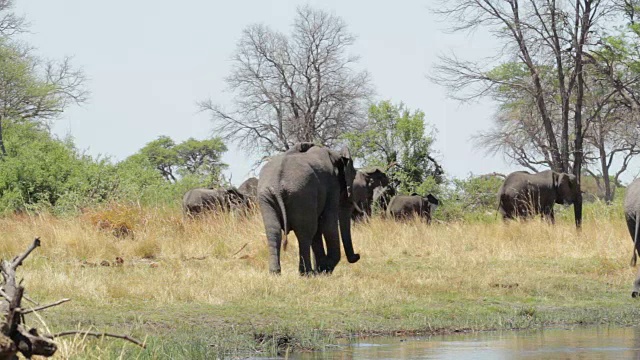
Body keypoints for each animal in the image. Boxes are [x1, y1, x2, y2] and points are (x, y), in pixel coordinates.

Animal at [258, 142, 360, 274]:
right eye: (353, 177)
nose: (357, 256)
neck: (335, 155)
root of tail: (277, 184)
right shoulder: (332, 185)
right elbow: (328, 224)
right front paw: (325, 268)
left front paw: (321, 269)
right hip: (301, 193)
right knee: (305, 233)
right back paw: (306, 273)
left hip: (266, 196)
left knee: (273, 231)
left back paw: (275, 273)